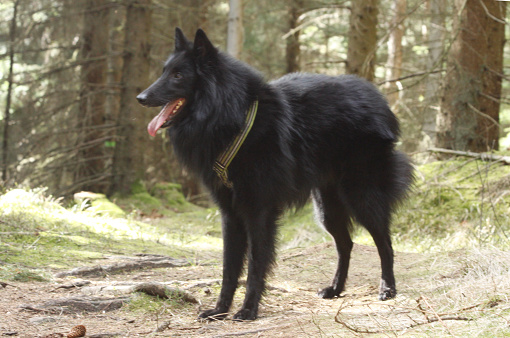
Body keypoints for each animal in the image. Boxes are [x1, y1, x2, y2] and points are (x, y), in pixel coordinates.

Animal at [136, 28, 414, 320]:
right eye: (164, 71)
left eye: (178, 75)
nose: (140, 98)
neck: (233, 118)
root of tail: (378, 98)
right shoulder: (230, 214)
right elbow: (229, 268)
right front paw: (220, 309)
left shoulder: (259, 212)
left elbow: (256, 265)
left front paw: (248, 309)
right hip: (326, 208)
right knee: (345, 244)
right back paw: (335, 289)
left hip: (362, 197)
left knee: (385, 243)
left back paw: (387, 289)